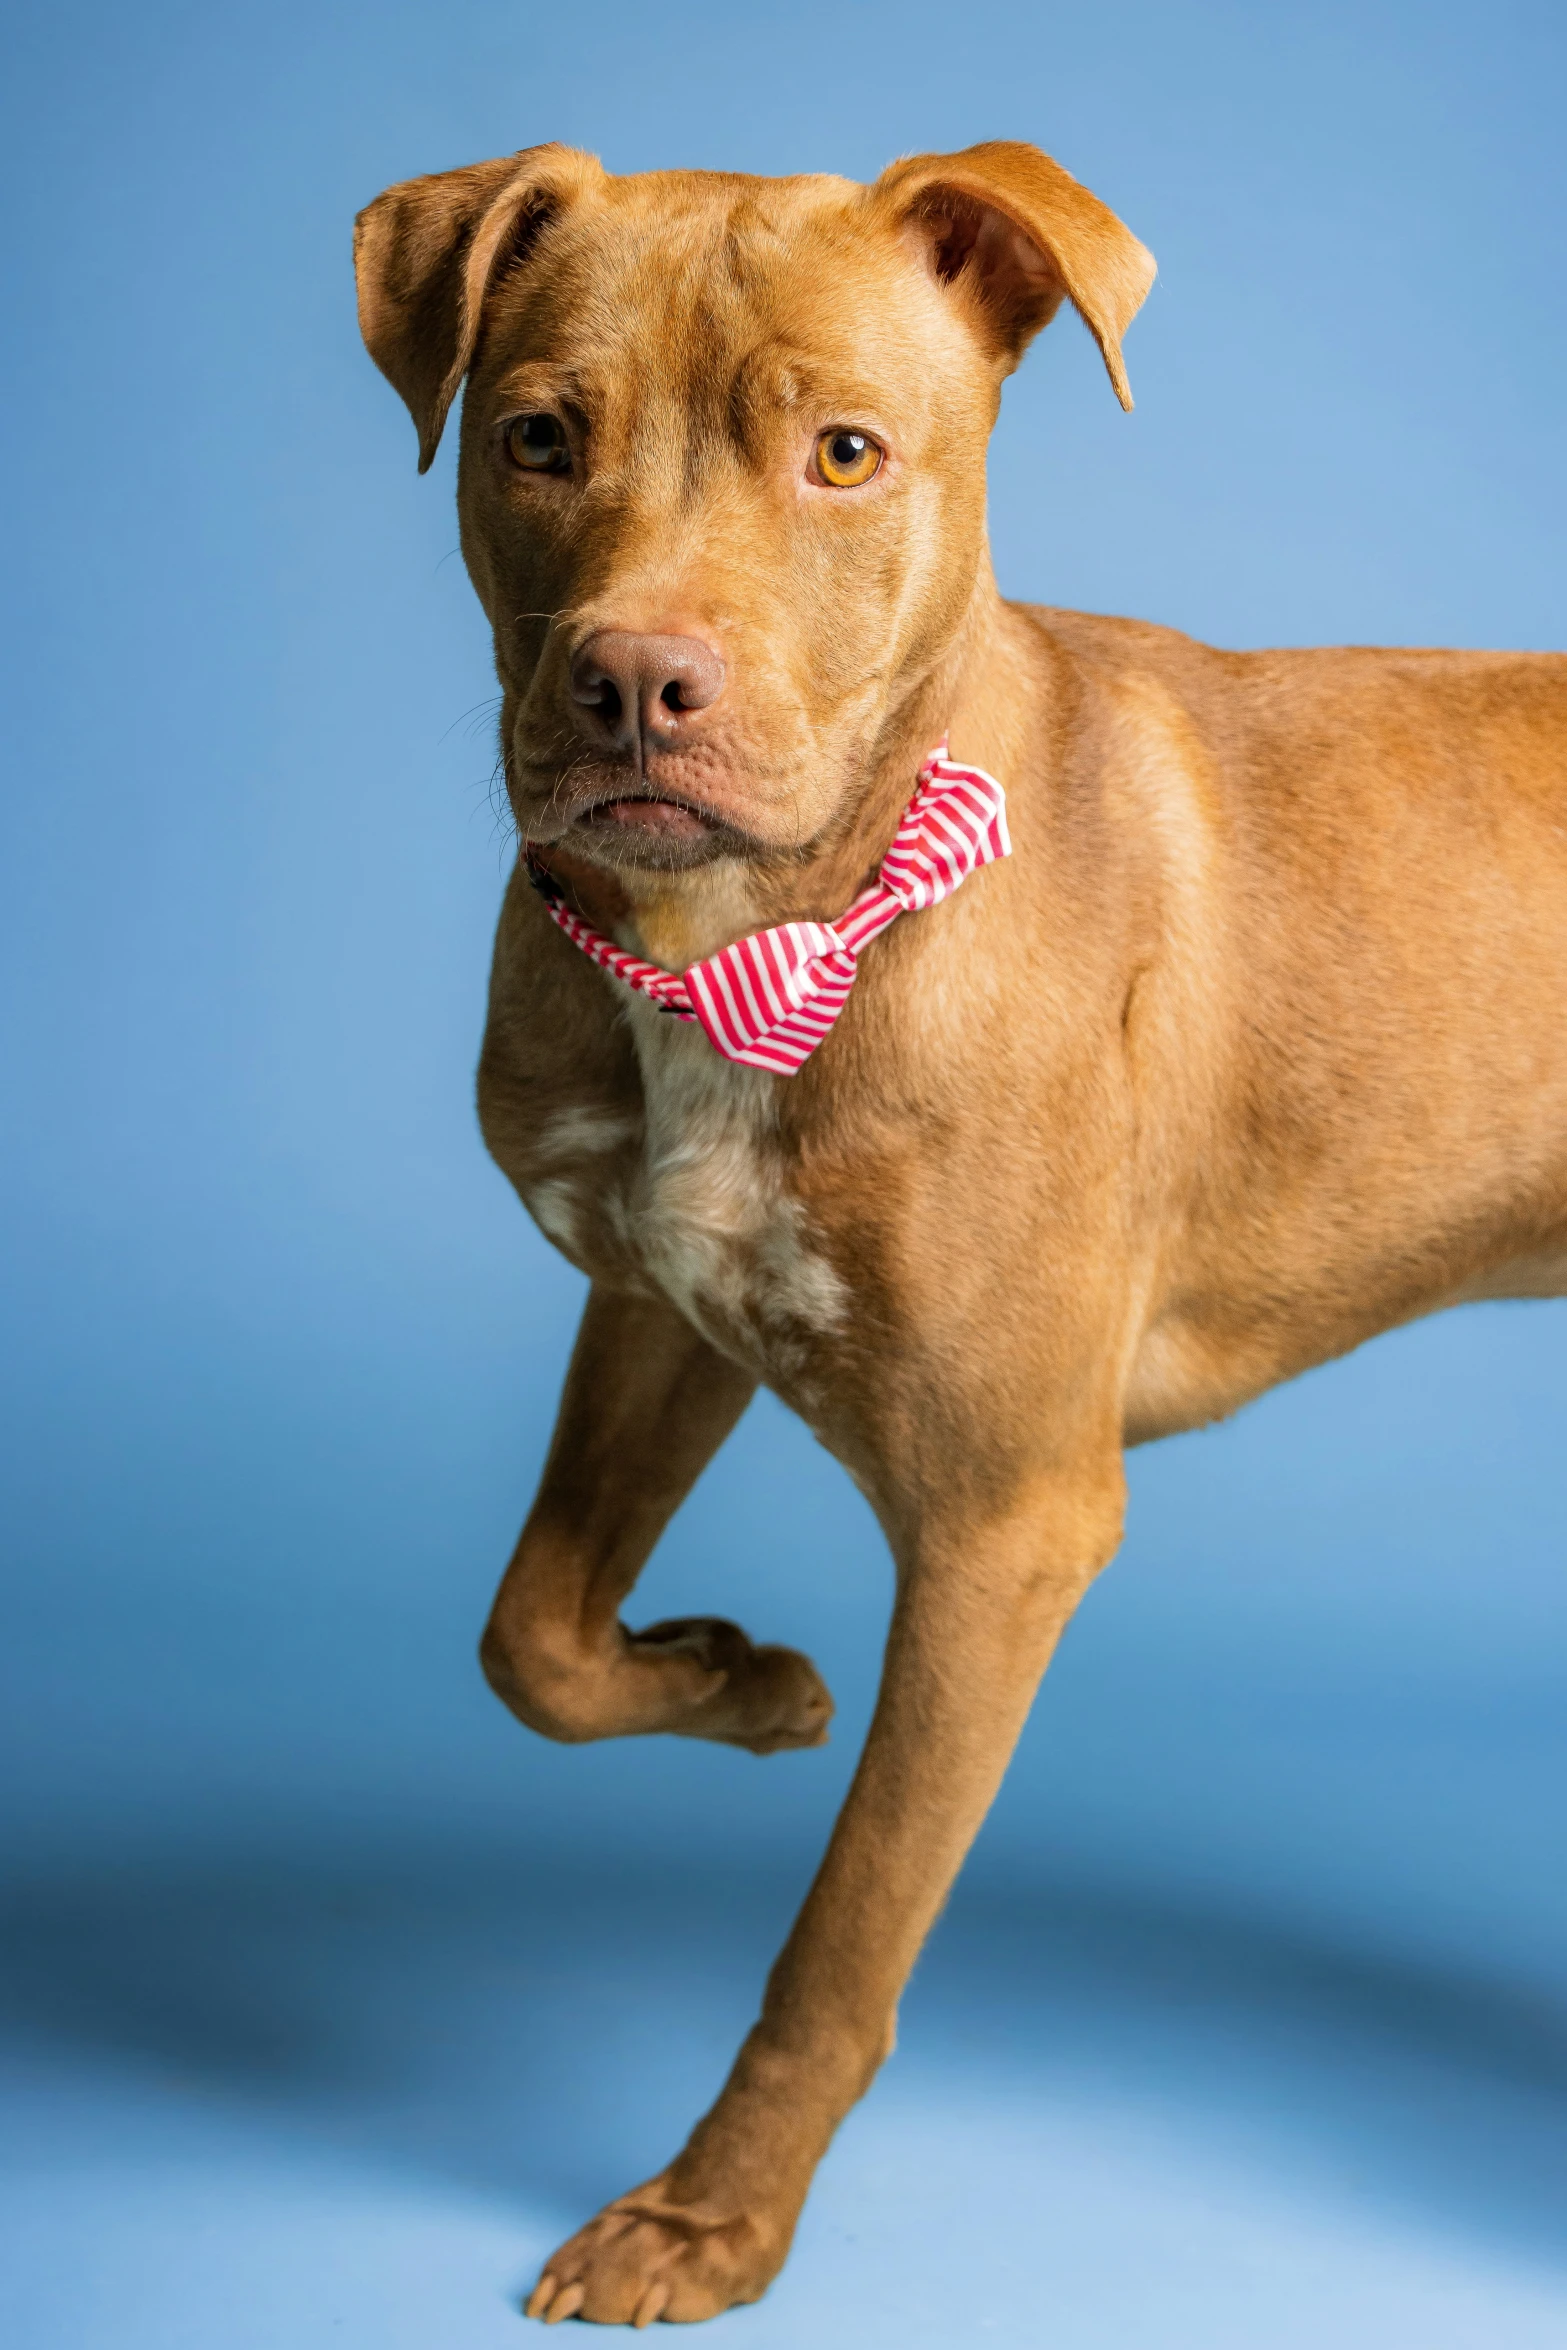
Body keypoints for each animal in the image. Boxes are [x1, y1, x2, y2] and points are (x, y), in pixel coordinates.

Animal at [354, 137, 1567, 2321]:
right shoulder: (665, 1303)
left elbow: (844, 1931)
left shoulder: (1004, 1525)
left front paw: (712, 2217)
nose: (635, 683)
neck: (762, 940)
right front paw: (737, 1685)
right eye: (537, 438)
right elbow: (531, 1635)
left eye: (846, 452)